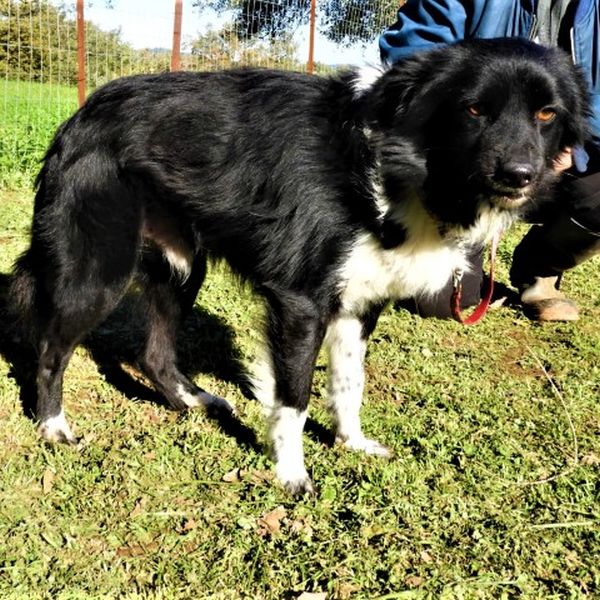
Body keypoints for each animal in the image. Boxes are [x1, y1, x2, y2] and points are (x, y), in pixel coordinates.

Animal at [11, 38, 589, 494]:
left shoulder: (360, 302)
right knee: (50, 349)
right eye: (473, 110)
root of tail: (82, 113)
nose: (520, 176)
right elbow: (294, 398)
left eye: (547, 114)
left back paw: (192, 401)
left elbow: (349, 383)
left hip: (183, 265)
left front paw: (352, 443)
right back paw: (54, 427)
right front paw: (291, 474)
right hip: (98, 269)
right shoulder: (301, 302)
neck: (395, 169)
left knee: (154, 353)